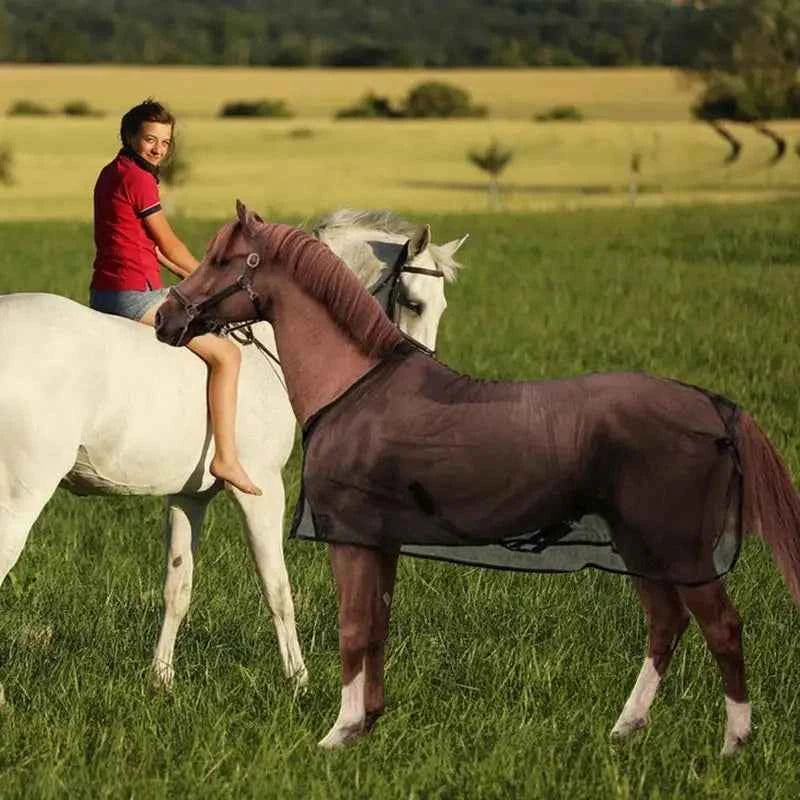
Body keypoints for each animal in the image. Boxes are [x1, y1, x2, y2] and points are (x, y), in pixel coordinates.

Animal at [0, 210, 468, 691]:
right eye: (414, 303)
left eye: (442, 307)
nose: (418, 379)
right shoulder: (262, 490)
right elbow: (277, 586)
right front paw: (298, 680)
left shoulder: (189, 497)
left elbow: (178, 585)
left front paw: (161, 678)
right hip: (19, 499)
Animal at [154, 201, 800, 757]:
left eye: (222, 259)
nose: (166, 316)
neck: (358, 386)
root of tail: (716, 408)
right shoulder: (380, 542)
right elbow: (376, 626)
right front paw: (365, 724)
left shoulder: (350, 538)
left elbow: (353, 628)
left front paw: (337, 732)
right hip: (642, 546)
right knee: (666, 625)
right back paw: (625, 729)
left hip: (676, 548)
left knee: (722, 627)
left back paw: (732, 744)